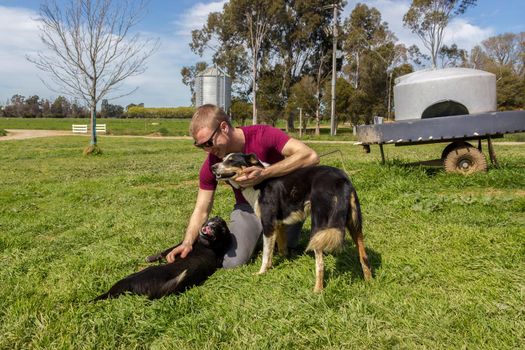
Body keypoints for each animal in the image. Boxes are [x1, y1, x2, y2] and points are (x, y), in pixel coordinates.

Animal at [92, 216, 231, 300]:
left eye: (223, 230)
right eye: (216, 220)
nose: (218, 221)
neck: (207, 246)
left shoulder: (173, 248)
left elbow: (163, 252)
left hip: (127, 280)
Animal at [211, 153, 370, 292]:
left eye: (231, 160)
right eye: (223, 159)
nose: (212, 167)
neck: (259, 183)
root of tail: (341, 178)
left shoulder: (268, 224)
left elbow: (266, 254)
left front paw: (261, 272)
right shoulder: (279, 225)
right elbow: (281, 248)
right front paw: (281, 263)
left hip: (318, 228)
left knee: (320, 264)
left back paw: (317, 291)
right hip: (354, 224)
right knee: (363, 256)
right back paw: (369, 282)